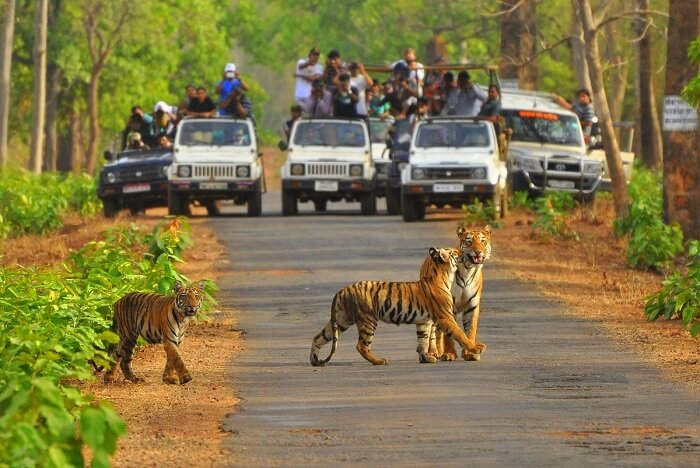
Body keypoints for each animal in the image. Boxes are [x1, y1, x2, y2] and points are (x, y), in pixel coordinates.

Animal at [310, 247, 482, 366]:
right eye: (454, 252)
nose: (463, 251)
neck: (444, 275)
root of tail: (342, 290)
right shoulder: (445, 317)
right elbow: (460, 334)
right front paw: (476, 348)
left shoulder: (424, 322)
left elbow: (423, 341)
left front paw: (426, 358)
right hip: (368, 320)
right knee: (362, 345)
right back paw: (379, 361)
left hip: (341, 320)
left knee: (318, 337)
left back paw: (314, 360)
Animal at [427, 225, 491, 362]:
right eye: (469, 242)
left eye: (483, 241)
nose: (478, 251)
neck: (468, 269)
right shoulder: (447, 306)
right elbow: (449, 334)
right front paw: (449, 354)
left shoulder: (472, 306)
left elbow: (470, 330)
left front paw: (470, 353)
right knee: (433, 331)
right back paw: (433, 352)